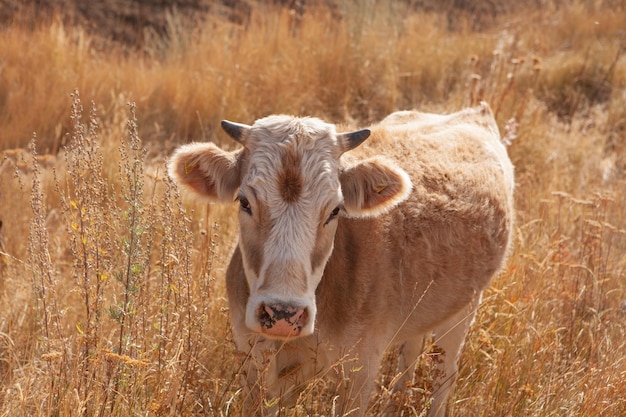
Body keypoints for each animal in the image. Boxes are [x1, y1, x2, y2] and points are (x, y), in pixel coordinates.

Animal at [167, 101, 512, 416]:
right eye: (245, 202)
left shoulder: (359, 372)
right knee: (410, 354)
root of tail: (474, 112)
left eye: (335, 210)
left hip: (463, 312)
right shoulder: (253, 359)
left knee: (444, 375)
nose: (283, 313)